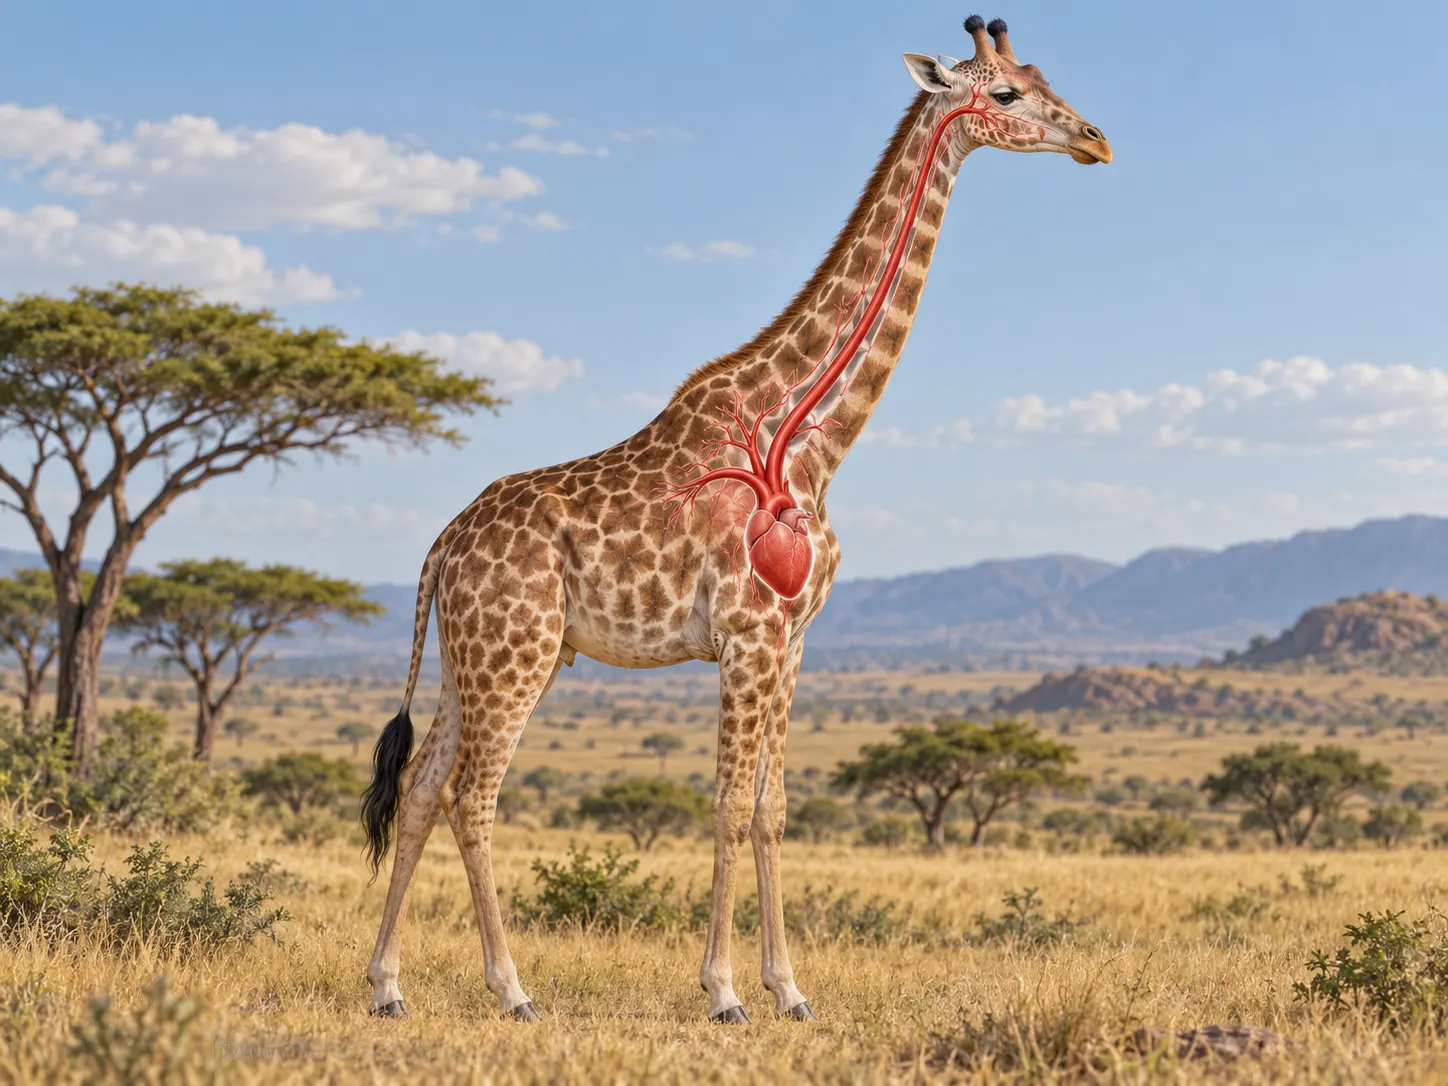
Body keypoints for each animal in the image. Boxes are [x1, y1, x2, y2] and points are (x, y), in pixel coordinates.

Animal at [361, 14, 1111, 1025]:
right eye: (1004, 94)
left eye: (1042, 77)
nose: (1096, 141)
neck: (803, 439)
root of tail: (441, 547)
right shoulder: (749, 635)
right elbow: (722, 805)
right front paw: (722, 992)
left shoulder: (792, 641)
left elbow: (770, 810)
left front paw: (789, 989)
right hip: (515, 653)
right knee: (473, 796)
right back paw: (511, 989)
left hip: (481, 655)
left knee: (422, 782)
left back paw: (387, 984)